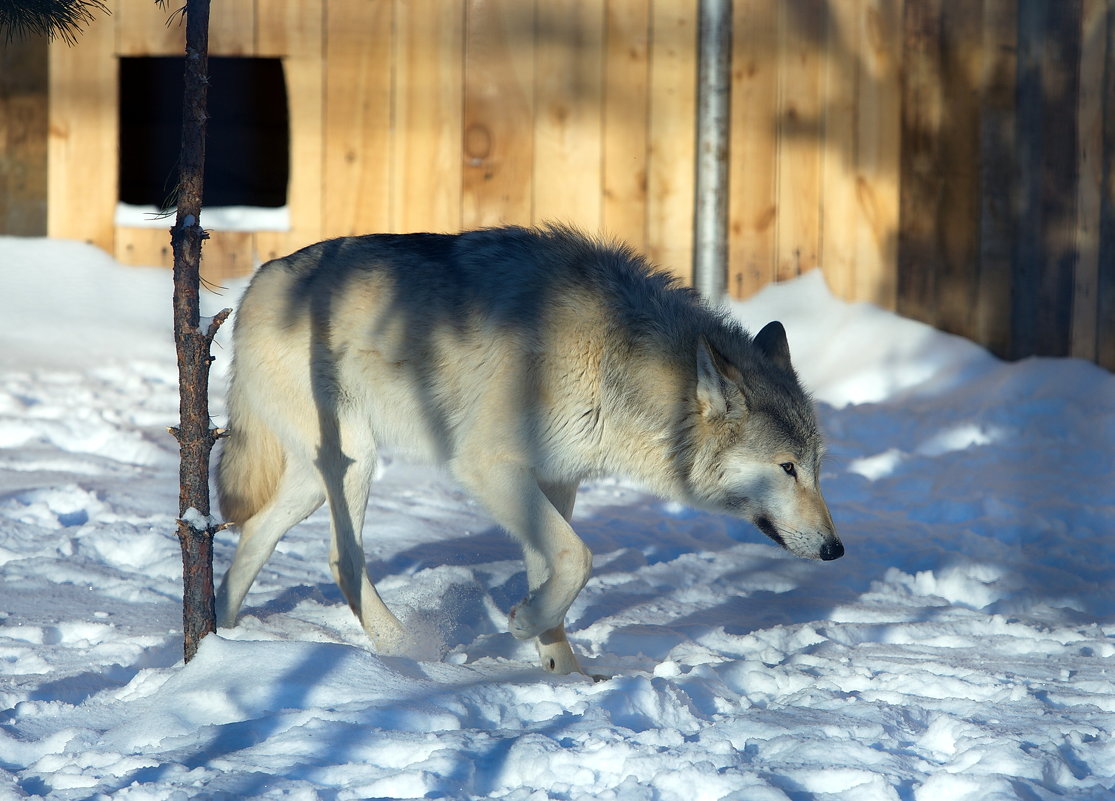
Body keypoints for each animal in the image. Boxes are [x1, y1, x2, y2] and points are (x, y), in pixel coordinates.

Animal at [217, 225, 838, 678]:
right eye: (787, 468)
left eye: (816, 468)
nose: (836, 550)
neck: (615, 363)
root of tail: (256, 282)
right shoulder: (490, 468)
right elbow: (578, 558)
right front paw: (521, 626)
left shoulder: (556, 481)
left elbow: (554, 567)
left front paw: (563, 673)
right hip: (355, 459)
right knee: (343, 560)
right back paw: (401, 647)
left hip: (317, 478)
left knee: (256, 531)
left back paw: (217, 635)